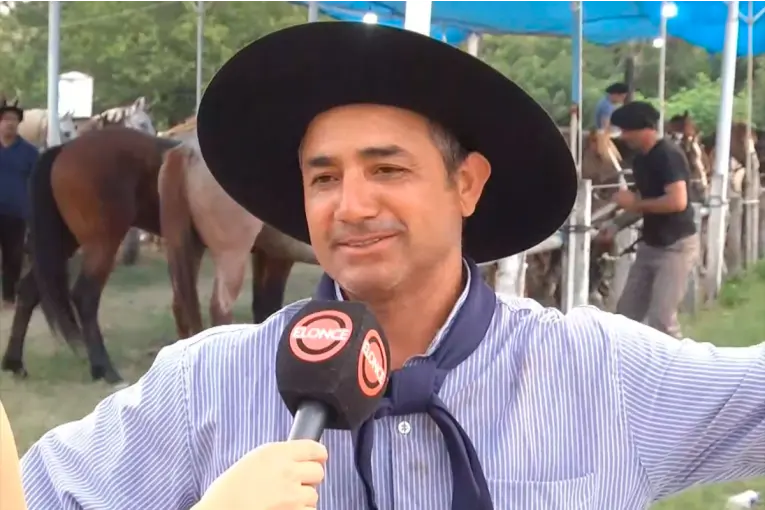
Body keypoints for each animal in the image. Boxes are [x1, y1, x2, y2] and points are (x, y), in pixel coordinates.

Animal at [0, 128, 179, 385]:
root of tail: (64, 149)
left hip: (60, 244)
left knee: (28, 291)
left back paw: (14, 363)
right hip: (102, 243)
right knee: (85, 297)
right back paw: (105, 369)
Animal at [158, 117, 317, 339]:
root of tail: (189, 149)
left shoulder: (273, 254)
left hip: (189, 247)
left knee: (180, 307)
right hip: (231, 257)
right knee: (219, 309)